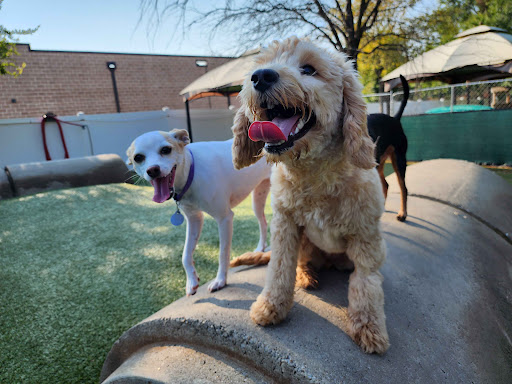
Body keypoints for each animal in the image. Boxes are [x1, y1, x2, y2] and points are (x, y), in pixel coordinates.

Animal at [127, 129, 272, 294]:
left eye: (166, 150)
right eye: (138, 157)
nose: (152, 170)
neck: (191, 170)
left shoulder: (224, 218)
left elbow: (223, 253)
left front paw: (220, 280)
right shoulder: (194, 219)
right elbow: (185, 255)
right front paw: (192, 281)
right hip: (257, 199)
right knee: (263, 223)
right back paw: (259, 249)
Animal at [370, 75, 410, 222]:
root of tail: (395, 118)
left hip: (399, 160)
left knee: (403, 188)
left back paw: (402, 213)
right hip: (380, 164)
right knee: (385, 185)